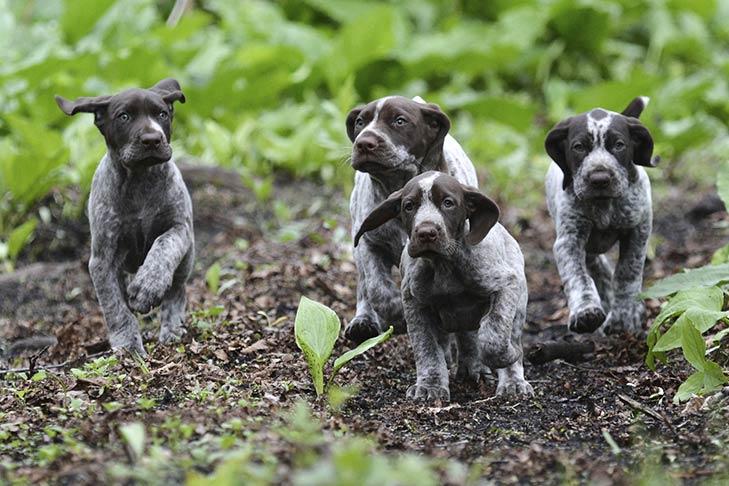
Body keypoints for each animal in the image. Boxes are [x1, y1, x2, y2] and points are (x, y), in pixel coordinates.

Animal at [55, 79, 193, 354]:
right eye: (124, 117)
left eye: (162, 114)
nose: (152, 139)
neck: (140, 179)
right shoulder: (103, 259)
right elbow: (115, 308)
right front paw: (128, 346)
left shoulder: (180, 228)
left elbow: (164, 245)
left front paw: (147, 287)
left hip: (188, 258)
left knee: (176, 290)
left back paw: (172, 328)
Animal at [346, 96, 478, 346]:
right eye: (360, 122)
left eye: (400, 121)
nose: (364, 143)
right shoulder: (368, 243)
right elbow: (377, 289)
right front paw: (397, 314)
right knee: (363, 286)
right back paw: (363, 321)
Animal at [352, 172, 528, 402]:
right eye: (409, 206)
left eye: (448, 203)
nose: (426, 233)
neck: (443, 264)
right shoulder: (415, 305)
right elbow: (427, 349)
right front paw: (431, 386)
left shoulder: (506, 283)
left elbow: (494, 335)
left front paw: (509, 355)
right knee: (463, 339)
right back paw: (469, 367)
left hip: (518, 300)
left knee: (506, 333)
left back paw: (511, 381)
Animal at [544, 97, 656, 336]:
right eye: (578, 147)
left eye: (619, 145)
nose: (599, 179)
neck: (604, 204)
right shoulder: (569, 240)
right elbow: (577, 276)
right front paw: (586, 311)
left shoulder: (638, 231)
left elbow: (627, 272)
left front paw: (625, 314)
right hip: (588, 248)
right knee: (599, 268)